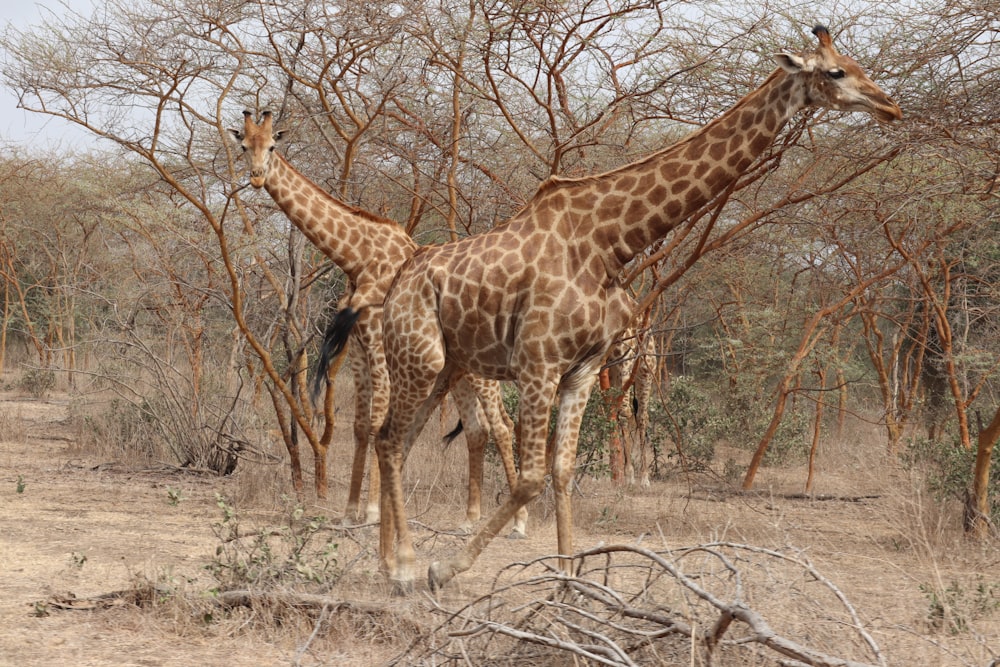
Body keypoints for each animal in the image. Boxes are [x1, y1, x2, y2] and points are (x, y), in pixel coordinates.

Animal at [229, 111, 532, 536]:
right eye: (243, 146)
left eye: (272, 145)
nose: (257, 177)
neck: (357, 258)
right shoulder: (357, 350)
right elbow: (359, 427)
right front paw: (349, 511)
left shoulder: (378, 345)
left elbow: (375, 425)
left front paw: (372, 512)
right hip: (458, 373)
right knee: (477, 429)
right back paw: (470, 520)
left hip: (481, 372)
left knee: (503, 426)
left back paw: (518, 523)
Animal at [326, 26, 900, 588]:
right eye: (836, 72)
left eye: (859, 64)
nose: (890, 106)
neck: (610, 243)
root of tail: (401, 279)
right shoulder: (538, 362)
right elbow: (532, 477)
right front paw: (443, 567)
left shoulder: (582, 368)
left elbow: (561, 471)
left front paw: (566, 583)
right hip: (420, 359)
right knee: (390, 438)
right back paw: (404, 565)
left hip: (447, 367)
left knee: (394, 441)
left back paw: (388, 563)